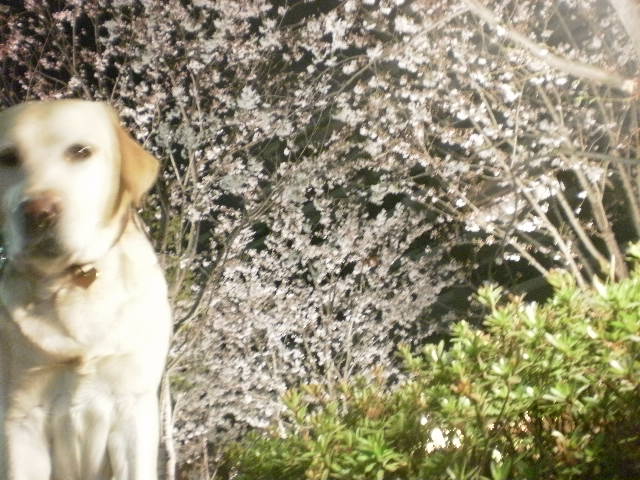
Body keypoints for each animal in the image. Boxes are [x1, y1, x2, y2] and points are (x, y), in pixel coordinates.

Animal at [0, 99, 171, 478]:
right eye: (8, 157)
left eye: (80, 151)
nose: (38, 212)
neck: (72, 281)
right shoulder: (20, 417)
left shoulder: (133, 406)